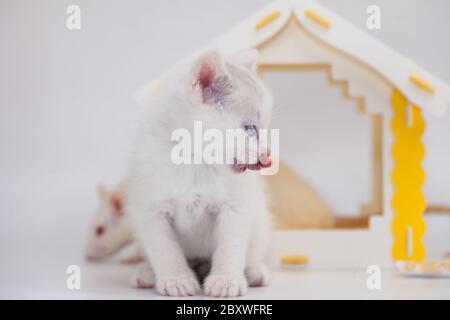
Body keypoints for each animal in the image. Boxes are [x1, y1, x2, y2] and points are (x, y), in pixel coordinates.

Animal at [128, 48, 272, 298]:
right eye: (249, 129)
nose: (267, 153)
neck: (194, 161)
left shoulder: (237, 206)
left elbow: (230, 246)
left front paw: (226, 280)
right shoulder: (150, 209)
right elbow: (165, 249)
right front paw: (177, 280)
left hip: (260, 220)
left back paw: (254, 271)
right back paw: (146, 272)